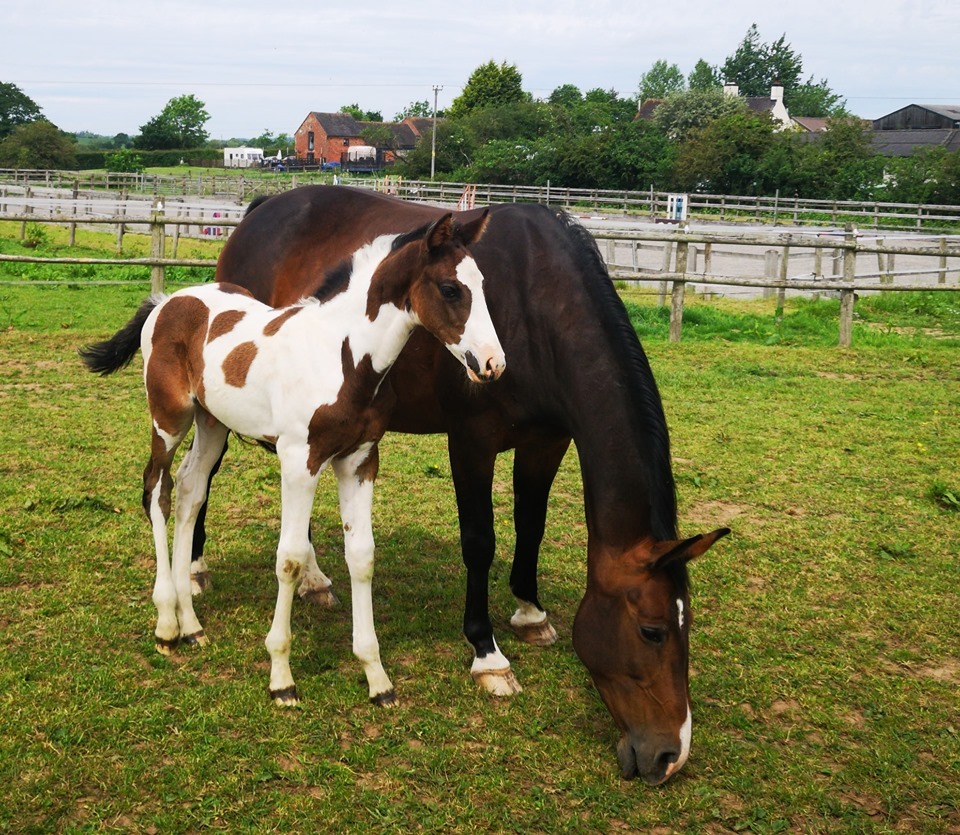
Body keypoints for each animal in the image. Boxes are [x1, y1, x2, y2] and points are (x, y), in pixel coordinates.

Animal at [80, 211, 504, 707]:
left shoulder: (360, 460)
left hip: (212, 423)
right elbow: (291, 558)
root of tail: (167, 301)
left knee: (189, 490)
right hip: (169, 418)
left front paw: (377, 677)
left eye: (483, 283)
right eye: (451, 288)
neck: (343, 356)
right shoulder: (299, 459)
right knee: (156, 491)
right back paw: (167, 623)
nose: (493, 364)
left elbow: (362, 555)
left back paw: (192, 625)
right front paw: (281, 676)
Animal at [205, 185, 728, 785]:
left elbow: (532, 526)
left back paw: (314, 579)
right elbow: (481, 541)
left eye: (687, 626)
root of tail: (262, 207)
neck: (536, 302)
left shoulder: (547, 440)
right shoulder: (472, 441)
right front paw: (487, 653)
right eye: (651, 630)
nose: (670, 756)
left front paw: (530, 612)